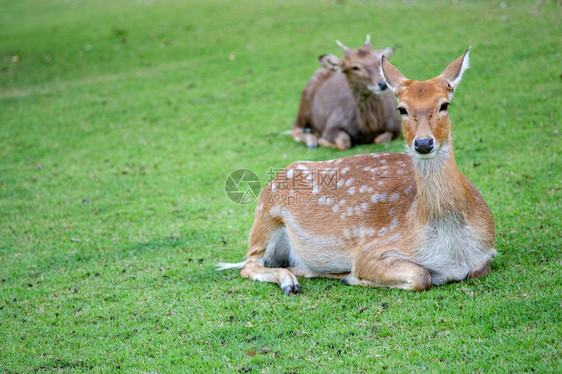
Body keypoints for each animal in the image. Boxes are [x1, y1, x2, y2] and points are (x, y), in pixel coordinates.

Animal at [217, 48, 492, 296]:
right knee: (248, 265)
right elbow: (420, 275)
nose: (423, 143)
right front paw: (352, 277)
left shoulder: (487, 251)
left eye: (445, 104)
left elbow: (478, 269)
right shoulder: (372, 248)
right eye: (401, 108)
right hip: (265, 220)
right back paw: (291, 281)